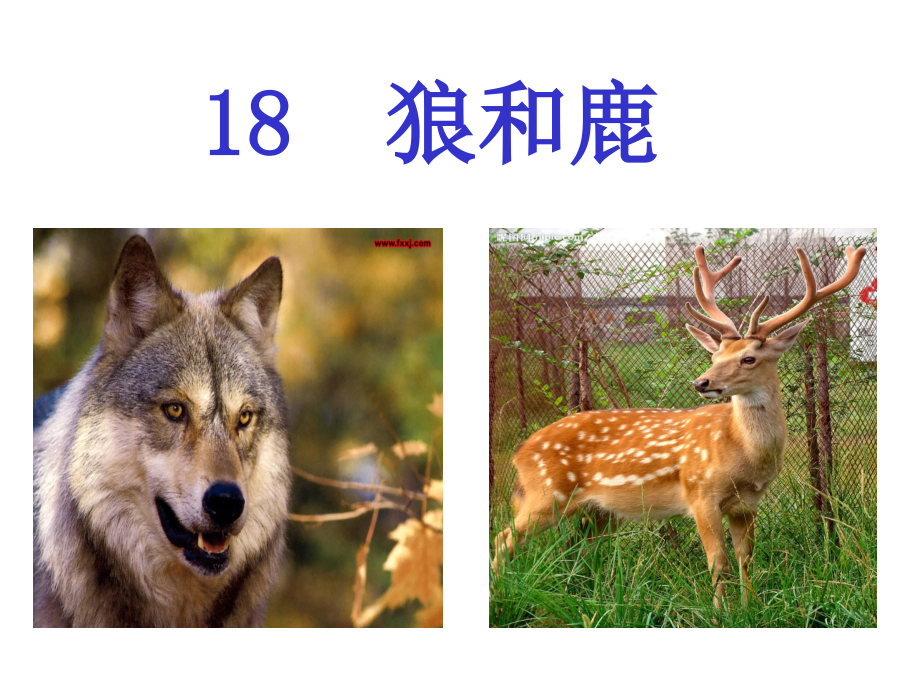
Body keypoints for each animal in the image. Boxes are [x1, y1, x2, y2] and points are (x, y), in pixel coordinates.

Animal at [492, 244, 866, 607]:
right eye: (715, 356)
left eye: (749, 358)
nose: (702, 382)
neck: (743, 454)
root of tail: (520, 452)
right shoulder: (700, 493)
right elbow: (718, 562)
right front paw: (719, 613)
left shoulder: (747, 504)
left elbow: (745, 560)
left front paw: (751, 608)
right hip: (546, 493)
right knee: (503, 538)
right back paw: (501, 594)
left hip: (599, 511)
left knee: (574, 547)